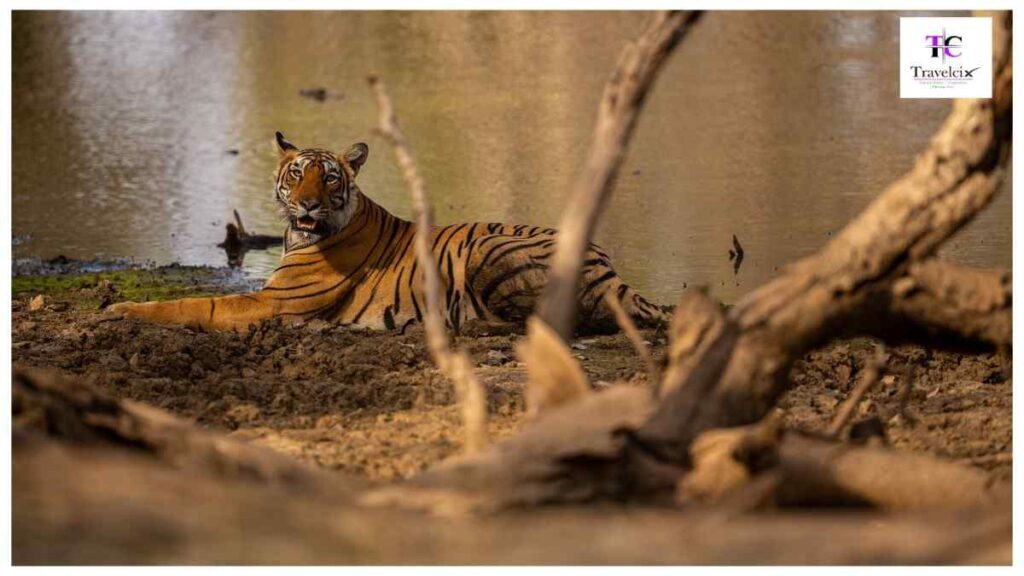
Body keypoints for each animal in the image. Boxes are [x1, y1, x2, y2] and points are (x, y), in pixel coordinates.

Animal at [109, 132, 670, 334]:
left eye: (329, 178)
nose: (308, 203)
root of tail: (610, 265)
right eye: (297, 174)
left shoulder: (273, 303)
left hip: (488, 247)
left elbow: (194, 304)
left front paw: (119, 309)